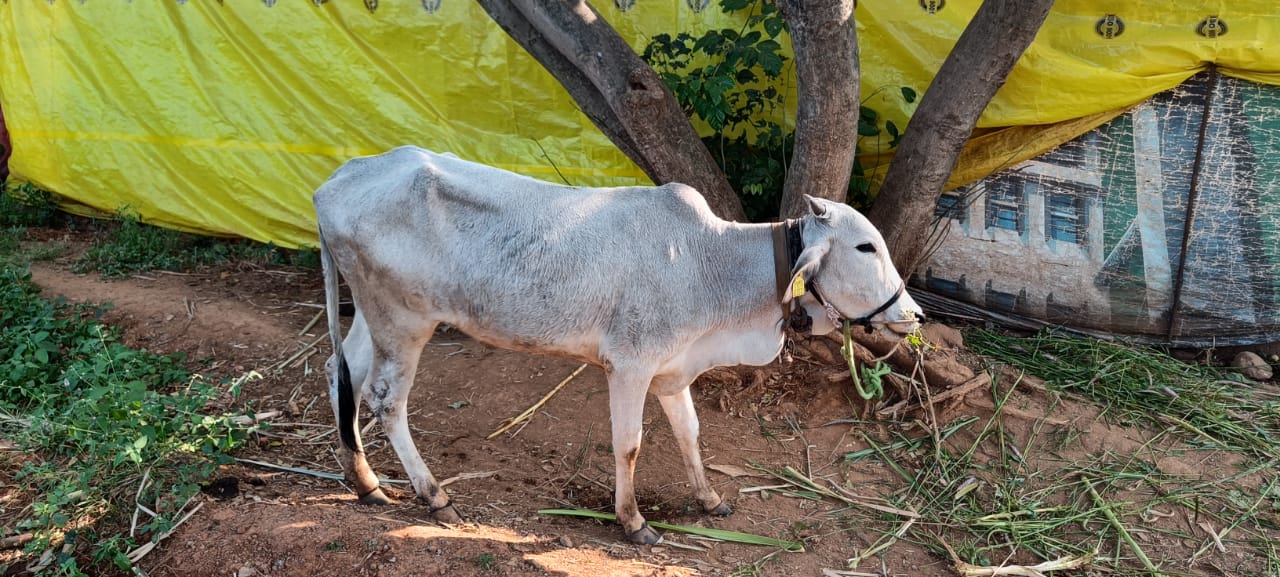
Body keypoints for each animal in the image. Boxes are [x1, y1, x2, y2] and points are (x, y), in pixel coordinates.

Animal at [318, 147, 921, 545]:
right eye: (865, 247)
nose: (913, 314)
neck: (712, 263)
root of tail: (336, 181)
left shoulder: (673, 372)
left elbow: (689, 433)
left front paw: (709, 499)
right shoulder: (629, 366)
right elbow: (628, 445)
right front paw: (633, 522)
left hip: (372, 318)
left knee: (341, 373)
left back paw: (364, 482)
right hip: (404, 322)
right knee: (385, 399)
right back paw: (433, 494)